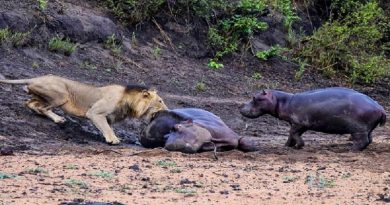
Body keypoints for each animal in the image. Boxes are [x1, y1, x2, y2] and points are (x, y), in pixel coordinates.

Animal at [0, 74, 168, 144]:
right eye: (160, 101)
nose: (167, 110)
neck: (129, 103)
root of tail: (36, 78)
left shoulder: (109, 117)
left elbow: (107, 127)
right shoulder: (95, 112)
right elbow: (107, 128)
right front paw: (113, 139)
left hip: (43, 95)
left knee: (31, 103)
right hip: (62, 95)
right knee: (42, 108)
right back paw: (59, 119)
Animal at [239, 86, 386, 151]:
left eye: (255, 98)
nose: (240, 107)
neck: (283, 101)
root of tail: (380, 107)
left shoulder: (298, 123)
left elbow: (293, 133)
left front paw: (299, 146)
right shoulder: (299, 124)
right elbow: (291, 135)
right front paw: (286, 146)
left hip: (358, 129)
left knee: (363, 140)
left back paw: (350, 150)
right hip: (366, 128)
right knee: (370, 139)